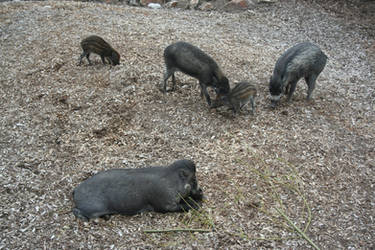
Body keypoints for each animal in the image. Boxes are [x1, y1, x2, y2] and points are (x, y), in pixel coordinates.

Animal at [72, 159, 204, 222]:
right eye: (194, 180)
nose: (201, 192)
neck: (172, 182)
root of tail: (75, 191)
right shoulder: (165, 204)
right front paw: (196, 206)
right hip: (92, 207)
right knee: (76, 210)